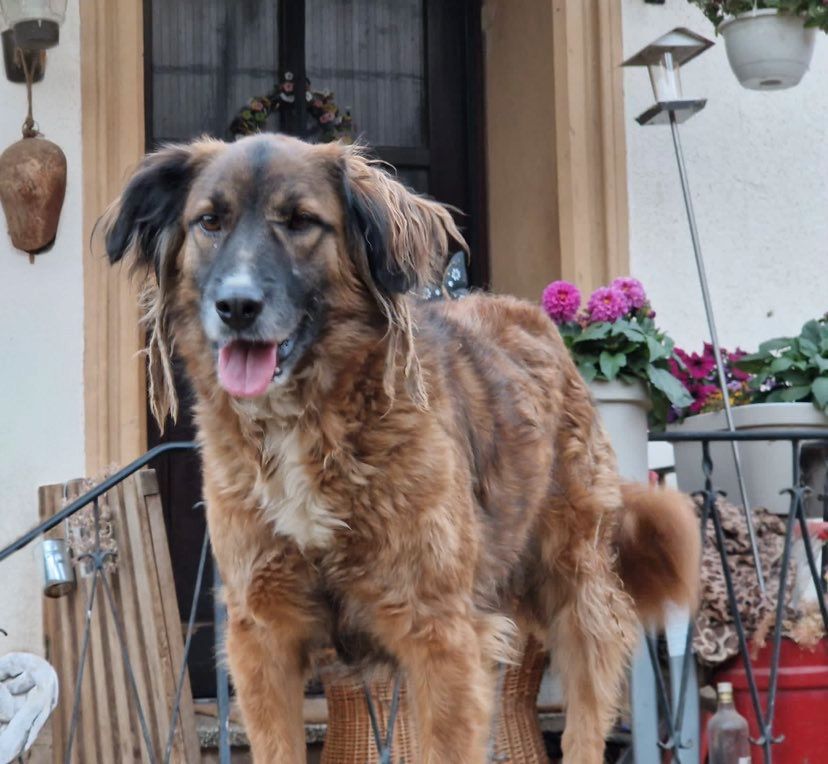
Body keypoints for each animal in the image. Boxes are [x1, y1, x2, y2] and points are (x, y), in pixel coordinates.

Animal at [102, 134, 700, 760]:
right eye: (210, 221)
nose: (236, 307)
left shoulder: (438, 634)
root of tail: (532, 316)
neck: (311, 421)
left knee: (586, 712)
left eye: (301, 221)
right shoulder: (264, 636)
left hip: (575, 585)